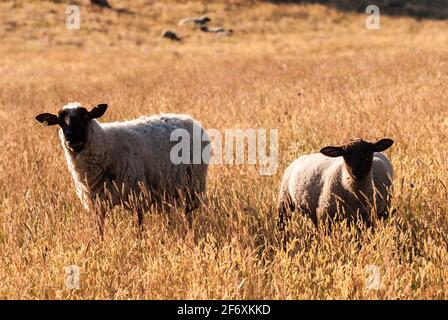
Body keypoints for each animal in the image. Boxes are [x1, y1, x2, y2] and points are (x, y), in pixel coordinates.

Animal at [36, 104, 209, 234]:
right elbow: (99, 227)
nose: (72, 139)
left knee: (188, 213)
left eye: (85, 117)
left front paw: (139, 243)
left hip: (192, 184)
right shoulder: (97, 202)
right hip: (167, 186)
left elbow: (138, 224)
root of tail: (189, 119)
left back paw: (189, 231)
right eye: (60, 121)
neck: (106, 145)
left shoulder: (136, 194)